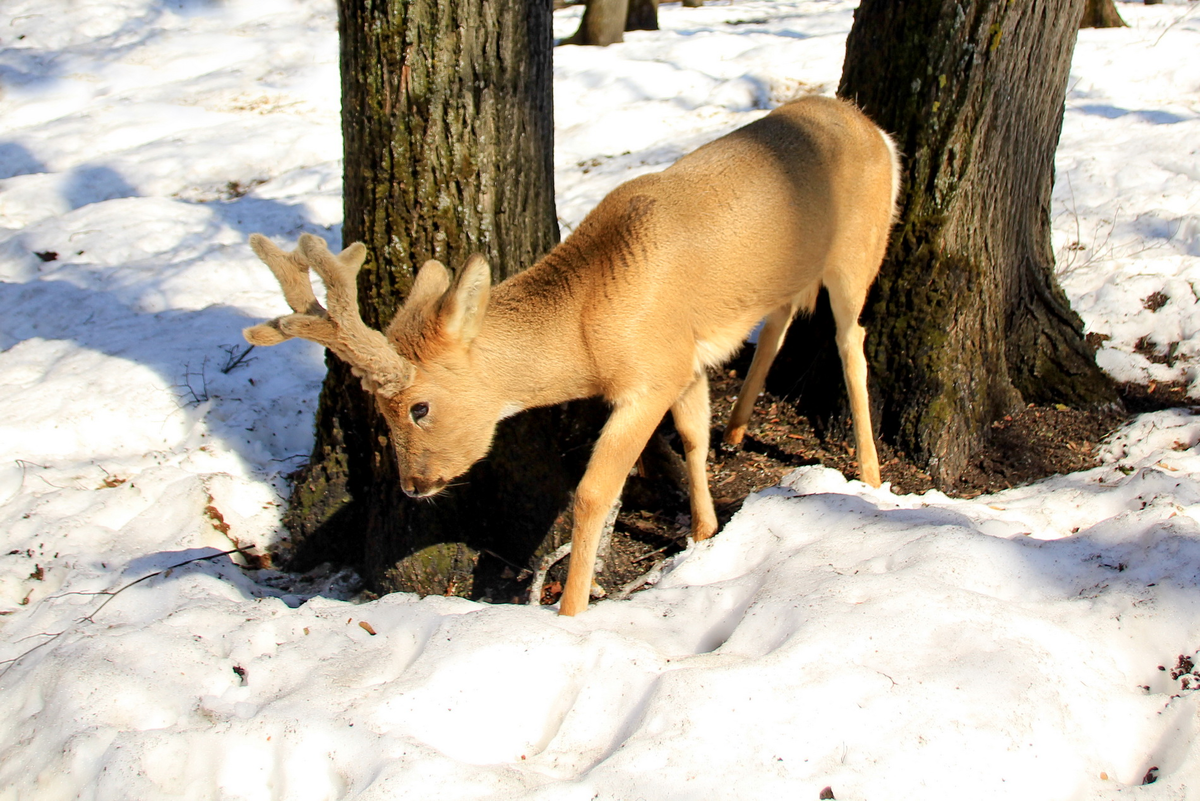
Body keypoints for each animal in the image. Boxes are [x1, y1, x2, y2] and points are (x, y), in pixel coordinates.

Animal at [246, 95, 902, 618]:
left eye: (418, 408)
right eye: (379, 411)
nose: (413, 485)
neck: (587, 327)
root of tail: (879, 132)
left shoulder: (651, 375)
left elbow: (592, 493)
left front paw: (570, 612)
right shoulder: (683, 359)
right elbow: (693, 437)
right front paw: (704, 532)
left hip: (859, 247)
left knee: (852, 343)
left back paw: (871, 477)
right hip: (795, 270)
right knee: (781, 321)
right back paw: (739, 432)